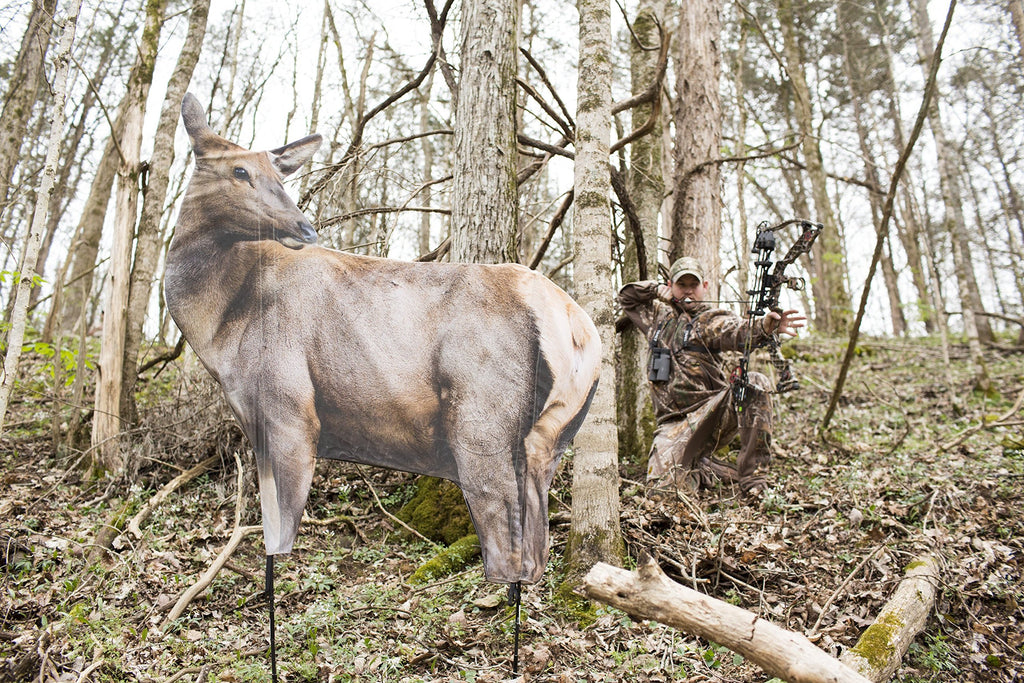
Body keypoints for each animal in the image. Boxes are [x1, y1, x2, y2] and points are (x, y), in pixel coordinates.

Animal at [164, 94, 602, 592]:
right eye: (239, 170)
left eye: (278, 174)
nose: (305, 227)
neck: (219, 328)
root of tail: (577, 326)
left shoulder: (290, 409)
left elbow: (282, 532)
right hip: (550, 436)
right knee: (536, 545)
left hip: (482, 424)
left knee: (506, 543)